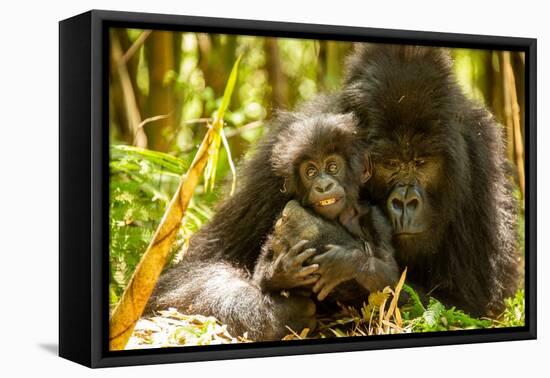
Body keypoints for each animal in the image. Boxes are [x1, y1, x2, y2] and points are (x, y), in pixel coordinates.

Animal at [254, 112, 402, 304]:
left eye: (332, 167)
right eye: (310, 172)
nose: (323, 186)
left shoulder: (378, 219)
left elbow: (392, 281)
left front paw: (343, 261)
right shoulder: (279, 220)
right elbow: (260, 276)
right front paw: (286, 270)